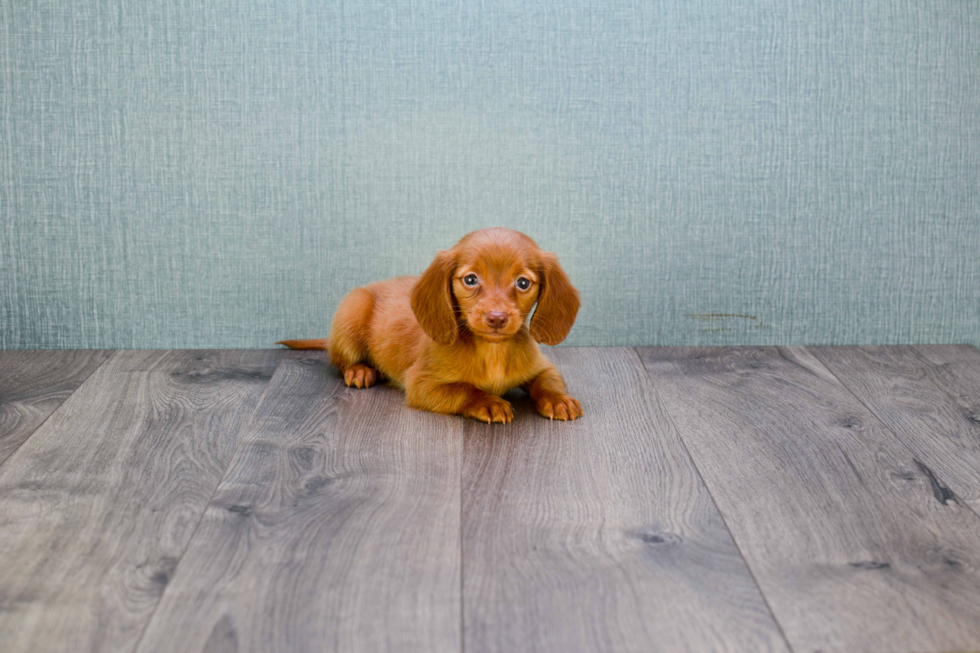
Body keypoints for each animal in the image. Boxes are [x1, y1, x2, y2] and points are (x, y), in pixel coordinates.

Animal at [276, 229, 580, 422]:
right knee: (340, 360)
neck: (492, 351)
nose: (496, 318)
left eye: (523, 282)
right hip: (353, 309)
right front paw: (489, 402)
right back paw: (360, 370)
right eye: (471, 279)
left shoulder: (542, 367)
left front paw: (558, 399)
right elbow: (466, 389)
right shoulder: (422, 384)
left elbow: (547, 381)